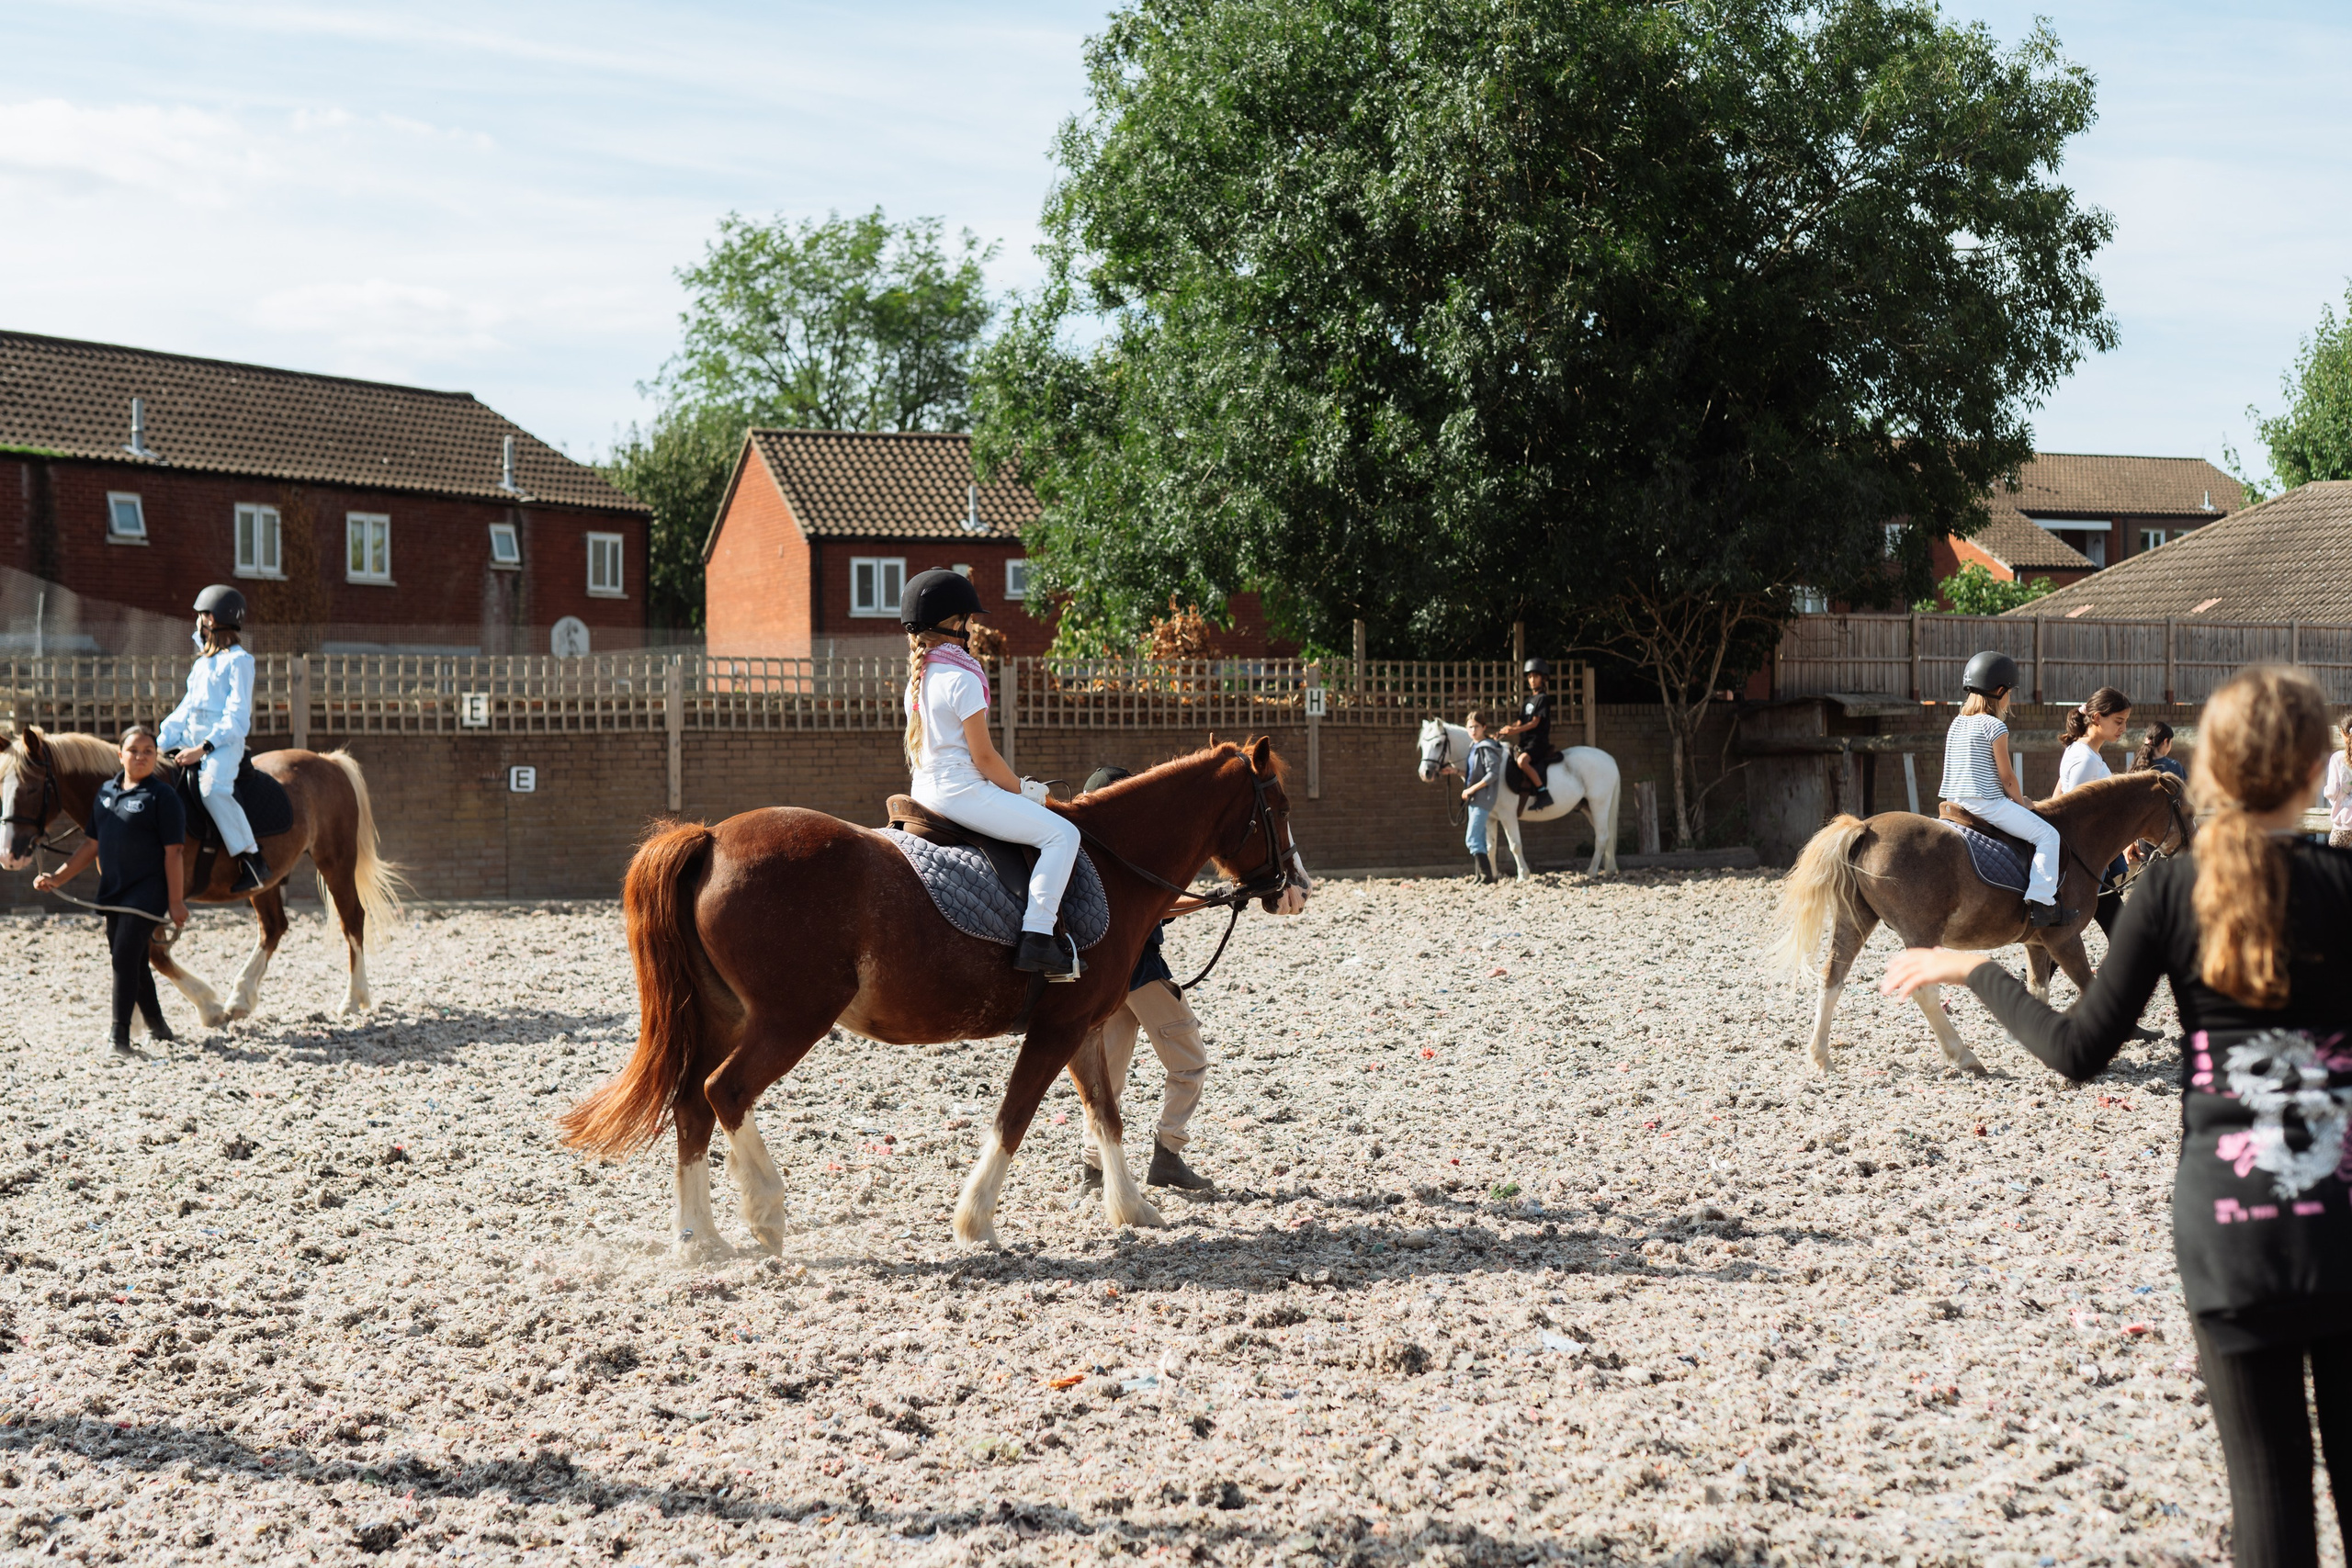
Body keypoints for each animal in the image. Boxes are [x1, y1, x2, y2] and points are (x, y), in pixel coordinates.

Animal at [1, 726, 405, 1024]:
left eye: (32, 787)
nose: (10, 855)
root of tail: (328, 762)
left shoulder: (159, 897)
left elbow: (154, 954)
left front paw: (207, 1008)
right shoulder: (125, 898)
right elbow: (131, 952)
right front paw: (136, 1021)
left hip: (335, 860)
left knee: (351, 919)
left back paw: (354, 999)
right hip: (266, 880)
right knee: (273, 927)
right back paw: (241, 998)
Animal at [558, 738, 1312, 1255]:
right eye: (1276, 807)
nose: (1298, 888)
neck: (1112, 863)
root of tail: (713, 837)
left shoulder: (1085, 1026)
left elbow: (1106, 1112)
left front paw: (1133, 1210)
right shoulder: (1058, 1028)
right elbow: (1016, 1115)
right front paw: (975, 1220)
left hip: (724, 1015)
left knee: (691, 1104)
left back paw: (701, 1241)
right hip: (789, 1019)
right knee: (725, 1091)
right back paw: (765, 1213)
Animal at [1415, 717, 1622, 877]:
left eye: (1438, 744)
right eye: (1423, 745)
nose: (1425, 773)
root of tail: (1609, 759)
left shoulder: (1508, 816)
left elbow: (1515, 845)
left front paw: (1523, 874)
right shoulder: (1490, 817)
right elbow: (1490, 847)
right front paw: (1495, 875)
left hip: (1599, 805)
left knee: (1601, 836)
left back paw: (1592, 872)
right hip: (1588, 808)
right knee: (1606, 835)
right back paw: (1609, 870)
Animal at [1764, 770, 2193, 1074]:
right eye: (2187, 813)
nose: (2189, 858)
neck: (2076, 840)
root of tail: (1866, 828)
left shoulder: (2038, 944)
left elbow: (2038, 989)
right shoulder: (2064, 939)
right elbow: (2089, 984)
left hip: (1856, 920)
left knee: (1832, 978)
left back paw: (1820, 1057)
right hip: (1921, 932)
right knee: (1924, 991)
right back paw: (1965, 1057)